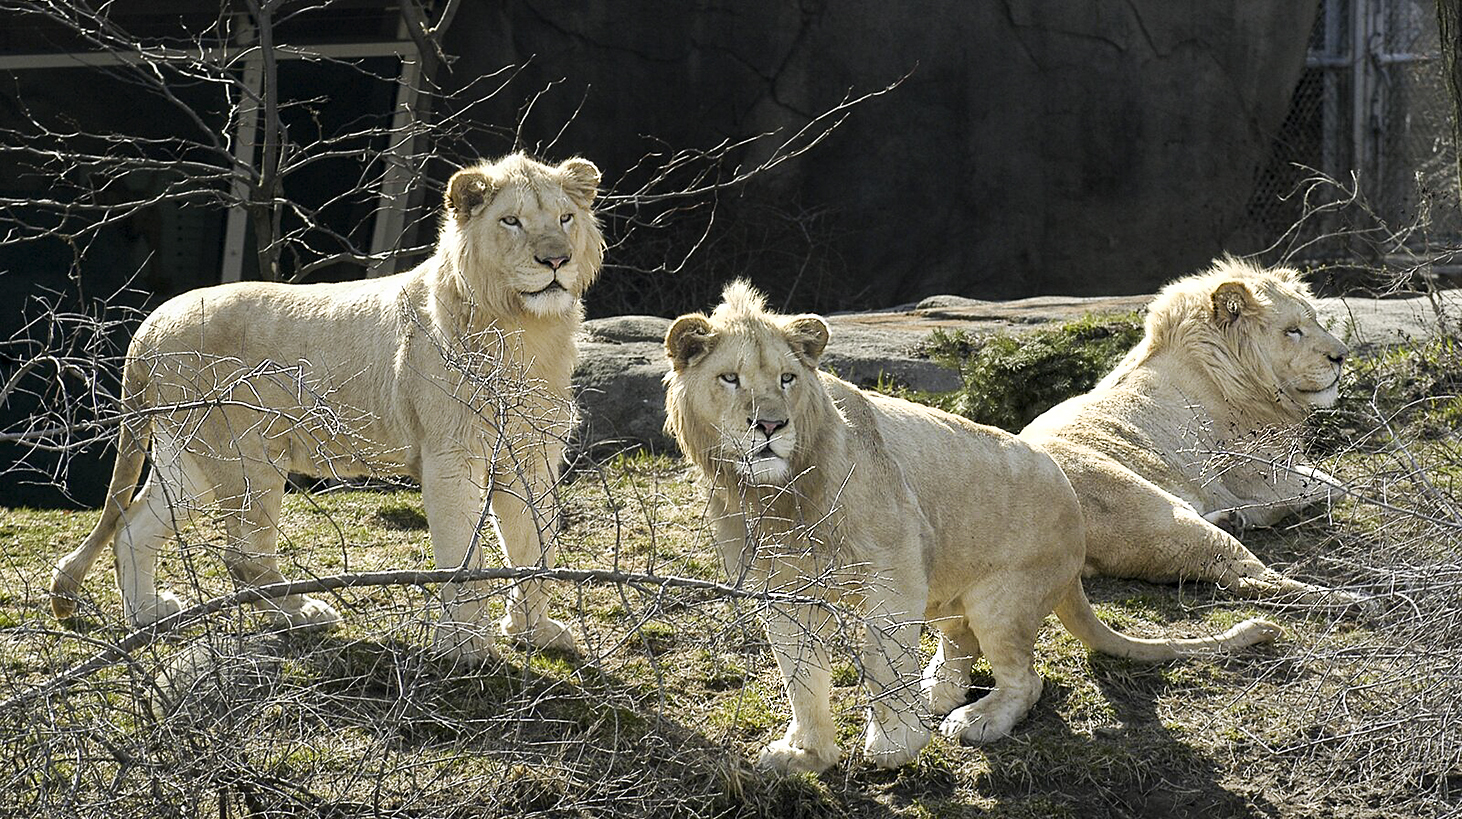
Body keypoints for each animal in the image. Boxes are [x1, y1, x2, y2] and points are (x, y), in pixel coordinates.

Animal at [49, 153, 604, 661]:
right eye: (511, 221)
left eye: (565, 218)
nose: (555, 260)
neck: (524, 328)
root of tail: (149, 327)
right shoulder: (451, 456)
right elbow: (462, 557)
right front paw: (466, 647)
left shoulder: (531, 453)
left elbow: (534, 546)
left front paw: (535, 632)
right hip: (247, 456)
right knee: (242, 557)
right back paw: (305, 615)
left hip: (191, 460)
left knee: (133, 526)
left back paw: (148, 616)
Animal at [663, 281, 1278, 774]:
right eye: (730, 379)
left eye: (788, 378)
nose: (769, 425)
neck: (776, 495)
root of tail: (1076, 526)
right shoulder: (781, 592)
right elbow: (801, 677)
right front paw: (806, 753)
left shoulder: (893, 574)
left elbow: (883, 664)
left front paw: (895, 742)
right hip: (948, 579)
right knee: (959, 638)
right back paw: (940, 687)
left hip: (1001, 597)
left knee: (1024, 679)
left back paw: (975, 718)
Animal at [1020, 257, 1355, 603]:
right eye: (1293, 331)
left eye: (1315, 321)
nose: (1342, 356)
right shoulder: (1262, 480)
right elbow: (1336, 485)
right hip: (1158, 516)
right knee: (1250, 577)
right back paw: (1348, 599)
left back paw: (1232, 520)